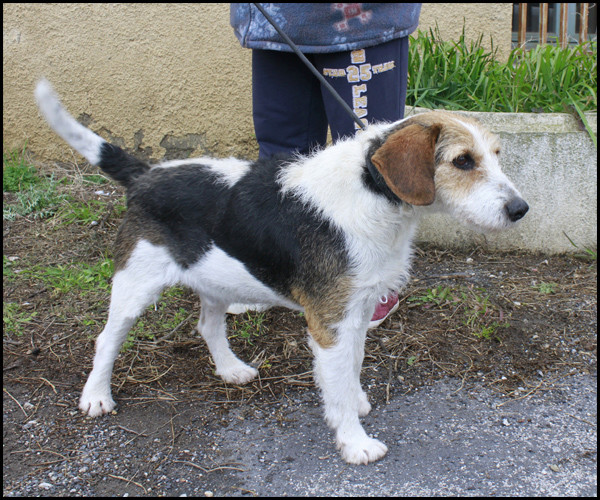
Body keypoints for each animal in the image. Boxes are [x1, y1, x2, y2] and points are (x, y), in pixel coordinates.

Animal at [34, 78, 528, 464]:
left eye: (496, 154)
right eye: (463, 160)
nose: (521, 210)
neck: (372, 192)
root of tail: (146, 175)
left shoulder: (357, 311)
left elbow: (352, 368)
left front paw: (355, 400)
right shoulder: (330, 323)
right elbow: (338, 382)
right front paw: (354, 443)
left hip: (215, 279)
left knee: (207, 326)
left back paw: (231, 370)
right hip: (134, 288)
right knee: (106, 340)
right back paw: (96, 396)